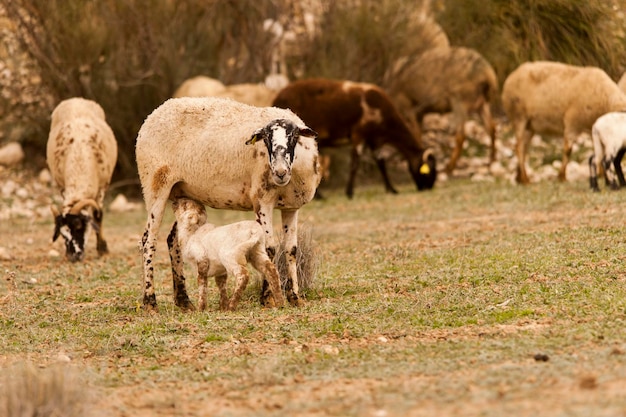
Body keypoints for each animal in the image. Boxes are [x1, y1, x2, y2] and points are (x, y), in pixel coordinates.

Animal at [46, 96, 118, 260]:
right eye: (62, 234)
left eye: (79, 226)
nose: (73, 256)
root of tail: (76, 99)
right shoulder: (63, 187)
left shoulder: (102, 187)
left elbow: (98, 216)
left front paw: (102, 249)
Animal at [135, 96, 320, 310]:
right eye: (266, 139)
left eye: (293, 137)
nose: (280, 172)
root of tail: (155, 112)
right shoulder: (262, 200)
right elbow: (270, 248)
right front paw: (268, 298)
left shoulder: (291, 206)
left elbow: (291, 250)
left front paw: (295, 297)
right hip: (154, 184)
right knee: (148, 241)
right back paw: (150, 302)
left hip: (182, 192)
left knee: (174, 240)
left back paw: (184, 301)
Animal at [270, 78, 436, 198]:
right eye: (428, 171)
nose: (428, 188)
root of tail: (276, 98)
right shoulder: (359, 134)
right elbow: (355, 163)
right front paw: (349, 193)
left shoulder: (373, 139)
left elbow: (381, 162)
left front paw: (391, 189)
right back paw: (317, 195)